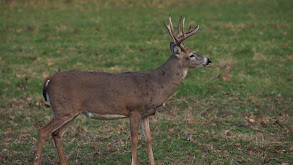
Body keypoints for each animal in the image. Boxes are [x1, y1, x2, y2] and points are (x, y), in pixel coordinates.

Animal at [34, 15, 210, 165]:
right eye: (192, 55)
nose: (209, 60)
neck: (156, 84)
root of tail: (48, 79)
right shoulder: (134, 110)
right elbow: (134, 139)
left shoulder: (146, 113)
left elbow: (148, 139)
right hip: (63, 109)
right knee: (43, 131)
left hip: (72, 112)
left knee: (56, 133)